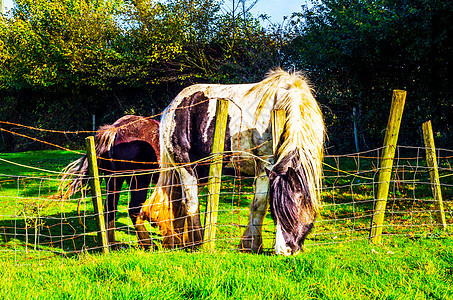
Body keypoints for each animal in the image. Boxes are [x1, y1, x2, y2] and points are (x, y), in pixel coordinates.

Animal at [139, 69, 324, 255]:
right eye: (278, 210)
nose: (285, 250)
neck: (284, 104)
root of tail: (172, 107)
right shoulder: (265, 164)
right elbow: (259, 205)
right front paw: (251, 244)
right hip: (186, 167)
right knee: (190, 203)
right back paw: (195, 243)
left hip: (200, 172)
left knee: (175, 202)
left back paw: (175, 241)